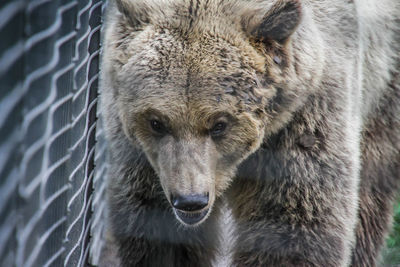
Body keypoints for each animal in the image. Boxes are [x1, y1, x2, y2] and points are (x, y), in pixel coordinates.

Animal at [99, 0, 400, 266]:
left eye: (220, 124)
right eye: (156, 122)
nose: (190, 201)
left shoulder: (303, 119)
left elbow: (293, 227)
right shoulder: (143, 158)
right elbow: (155, 229)